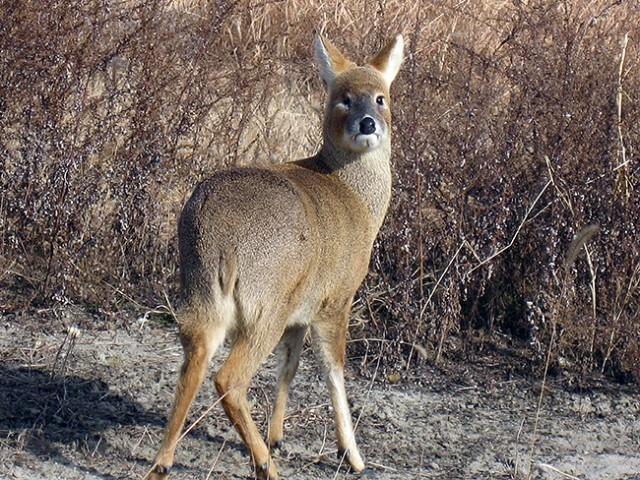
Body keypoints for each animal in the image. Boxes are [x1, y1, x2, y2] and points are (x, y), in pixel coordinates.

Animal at [148, 31, 402, 478]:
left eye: (381, 97)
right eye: (343, 98)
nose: (367, 123)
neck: (356, 199)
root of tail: (218, 234)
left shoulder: (300, 310)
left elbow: (290, 366)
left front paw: (277, 435)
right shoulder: (336, 299)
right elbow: (334, 370)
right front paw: (352, 455)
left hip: (202, 300)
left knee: (193, 363)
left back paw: (164, 461)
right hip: (264, 305)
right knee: (229, 379)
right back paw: (264, 465)